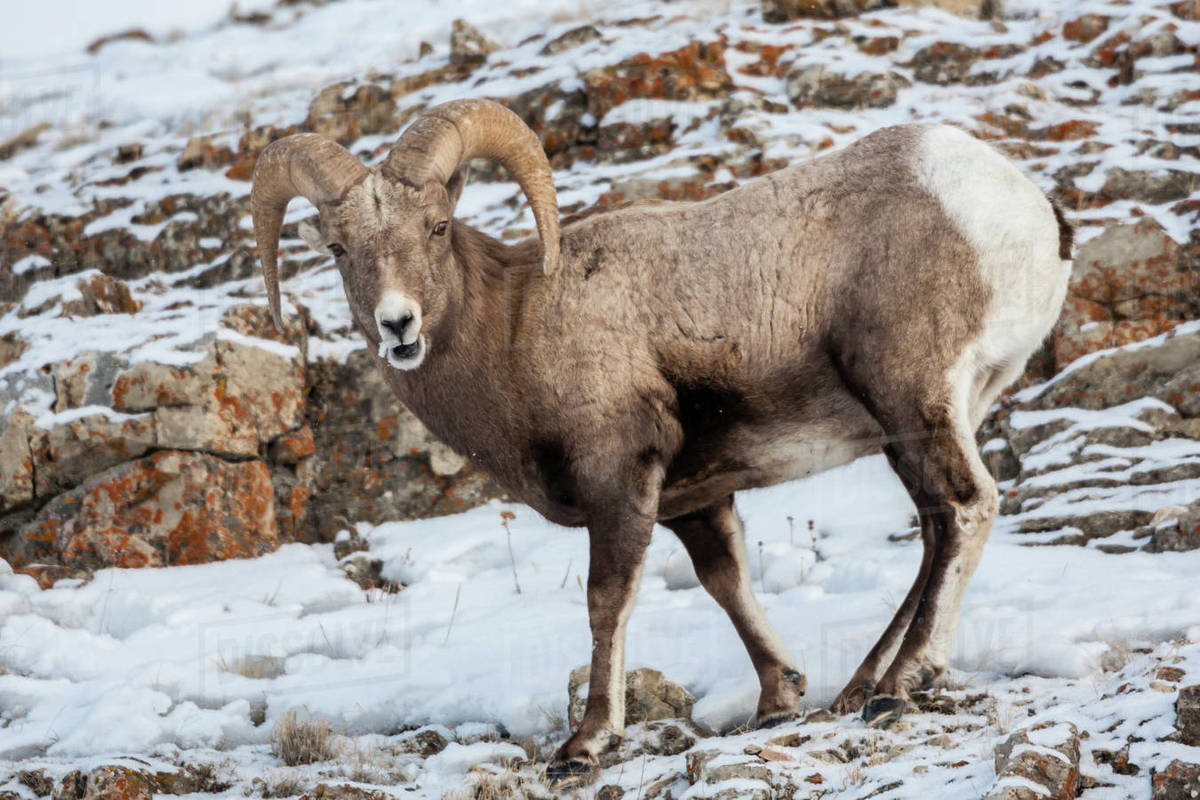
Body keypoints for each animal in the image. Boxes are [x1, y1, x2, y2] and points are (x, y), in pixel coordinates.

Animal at [249, 98, 1073, 782]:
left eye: (437, 228)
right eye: (339, 249)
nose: (398, 326)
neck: (514, 328)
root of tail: (1028, 211)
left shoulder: (620, 487)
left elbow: (605, 604)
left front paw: (582, 748)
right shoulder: (693, 503)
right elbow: (726, 583)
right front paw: (778, 701)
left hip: (912, 400)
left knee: (965, 507)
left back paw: (901, 686)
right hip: (922, 425)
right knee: (937, 529)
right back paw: (860, 686)